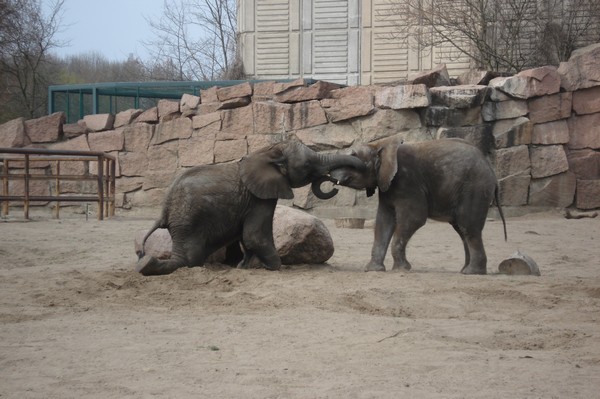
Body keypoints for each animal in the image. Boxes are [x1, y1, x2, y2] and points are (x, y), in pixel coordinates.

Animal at [136, 142, 364, 276]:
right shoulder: (260, 198)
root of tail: (164, 211)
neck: (267, 152)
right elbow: (254, 235)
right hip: (189, 221)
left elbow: (245, 237)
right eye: (308, 165)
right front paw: (276, 267)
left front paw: (244, 267)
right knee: (189, 258)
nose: (335, 183)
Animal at [314, 138, 506, 276]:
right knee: (461, 229)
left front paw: (401, 269)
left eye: (354, 157)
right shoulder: (387, 184)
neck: (380, 144)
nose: (332, 183)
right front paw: (373, 270)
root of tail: (492, 171)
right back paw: (465, 270)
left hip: (475, 188)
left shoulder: (407, 181)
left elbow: (414, 218)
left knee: (468, 227)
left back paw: (472, 273)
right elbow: (383, 221)